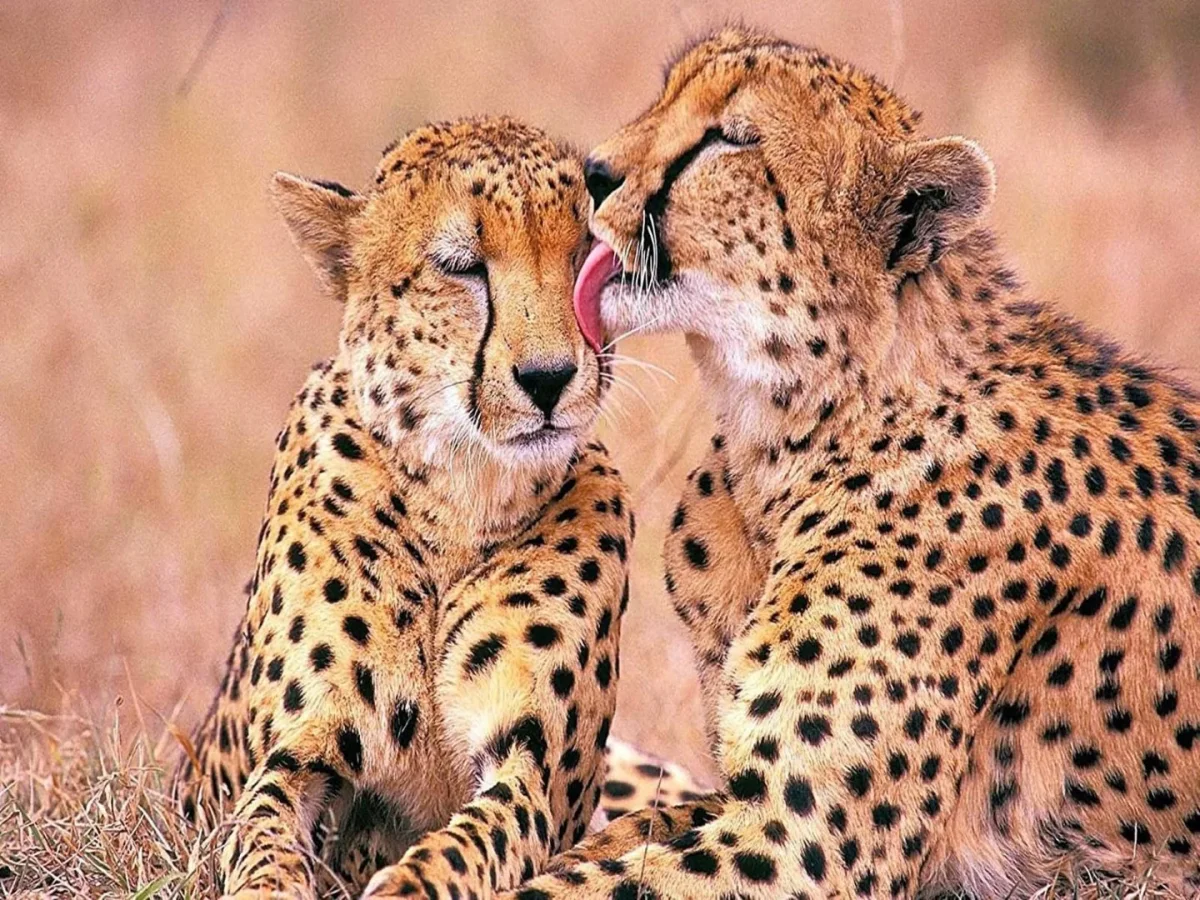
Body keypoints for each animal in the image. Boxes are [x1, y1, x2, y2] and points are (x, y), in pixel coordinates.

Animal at [173, 116, 641, 900]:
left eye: (586, 255)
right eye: (461, 266)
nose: (549, 378)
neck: (460, 495)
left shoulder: (533, 768)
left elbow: (467, 842)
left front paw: (407, 883)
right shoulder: (299, 751)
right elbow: (262, 835)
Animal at [505, 26, 1200, 900]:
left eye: (729, 139)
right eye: (666, 95)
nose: (592, 172)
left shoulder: (798, 843)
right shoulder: (738, 797)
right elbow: (608, 838)